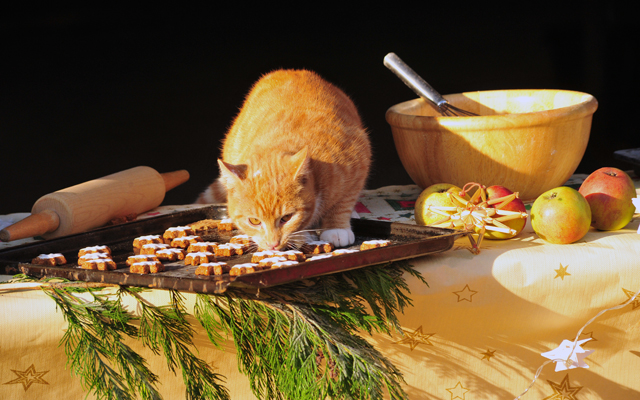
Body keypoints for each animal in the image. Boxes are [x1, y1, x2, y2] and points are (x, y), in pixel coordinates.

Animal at [198, 69, 372, 250]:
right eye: (254, 221)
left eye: (286, 218)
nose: (272, 244)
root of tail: (290, 71)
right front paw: (303, 236)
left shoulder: (359, 159)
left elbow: (343, 203)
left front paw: (336, 228)